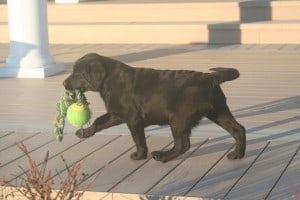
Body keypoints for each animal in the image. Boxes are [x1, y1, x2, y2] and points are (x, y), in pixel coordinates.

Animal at [63, 52, 246, 162]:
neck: (108, 81)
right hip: (218, 111)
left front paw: (139, 155)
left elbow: (138, 139)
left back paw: (163, 156)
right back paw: (238, 154)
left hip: (179, 118)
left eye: (77, 73)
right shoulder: (117, 114)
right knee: (238, 129)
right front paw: (85, 132)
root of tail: (209, 78)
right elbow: (99, 121)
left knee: (182, 144)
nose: (64, 83)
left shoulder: (133, 118)